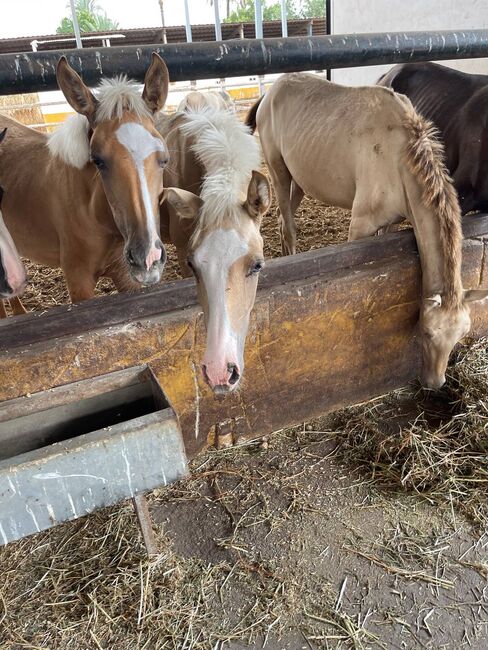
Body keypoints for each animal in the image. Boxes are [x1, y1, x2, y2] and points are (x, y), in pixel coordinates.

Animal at [248, 74, 488, 390]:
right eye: (427, 332)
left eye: (460, 335)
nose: (434, 382)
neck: (399, 159)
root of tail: (271, 91)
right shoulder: (359, 225)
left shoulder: (391, 222)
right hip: (277, 170)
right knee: (286, 223)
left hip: (299, 178)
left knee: (281, 218)